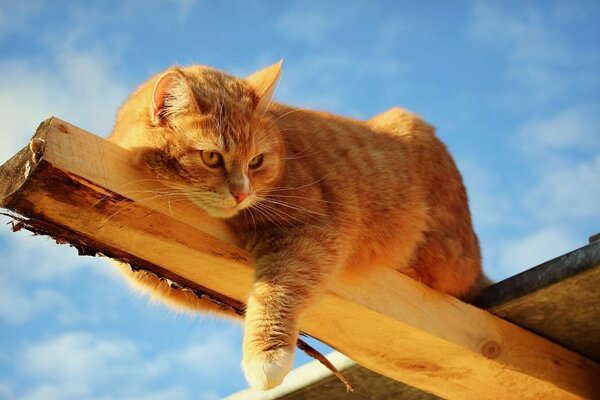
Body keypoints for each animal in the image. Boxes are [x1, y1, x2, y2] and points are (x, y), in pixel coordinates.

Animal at [108, 61, 486, 390]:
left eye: (256, 161)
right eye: (212, 157)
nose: (242, 192)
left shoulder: (312, 232)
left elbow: (277, 290)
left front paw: (266, 358)